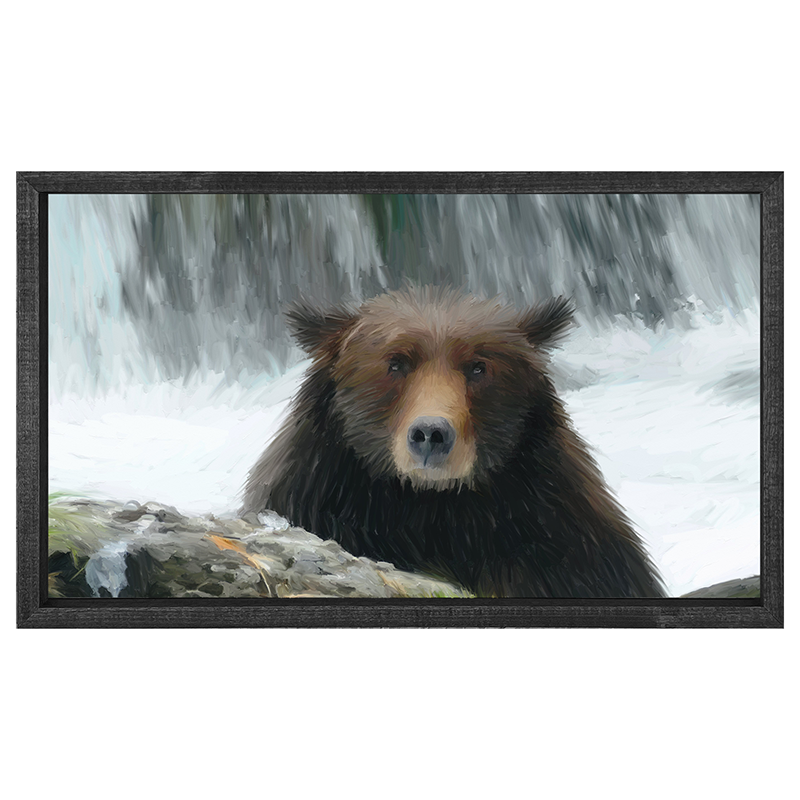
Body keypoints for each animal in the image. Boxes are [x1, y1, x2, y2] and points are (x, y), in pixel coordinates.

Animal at [243, 286, 665, 599]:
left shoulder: (559, 539)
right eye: (396, 362)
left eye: (478, 367)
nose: (431, 434)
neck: (433, 508)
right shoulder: (317, 496)